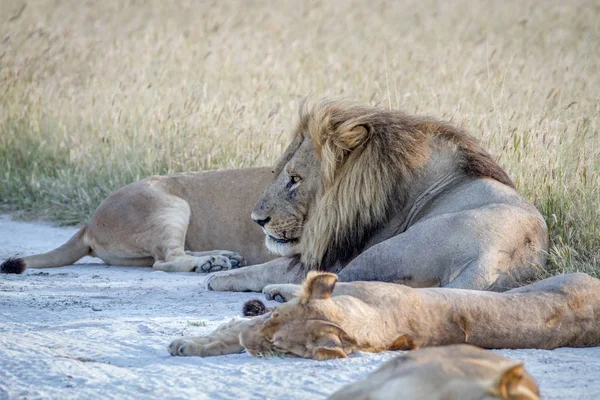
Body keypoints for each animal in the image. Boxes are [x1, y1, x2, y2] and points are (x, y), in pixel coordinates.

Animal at [0, 167, 274, 274]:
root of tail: (89, 224)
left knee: (168, 254)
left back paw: (227, 256)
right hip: (170, 206)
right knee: (166, 259)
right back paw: (212, 262)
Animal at [206, 98, 548, 292]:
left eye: (294, 179)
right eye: (277, 173)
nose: (257, 220)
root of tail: (494, 259)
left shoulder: (336, 254)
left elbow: (269, 267)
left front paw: (220, 278)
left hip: (384, 251)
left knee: (335, 284)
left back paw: (277, 292)